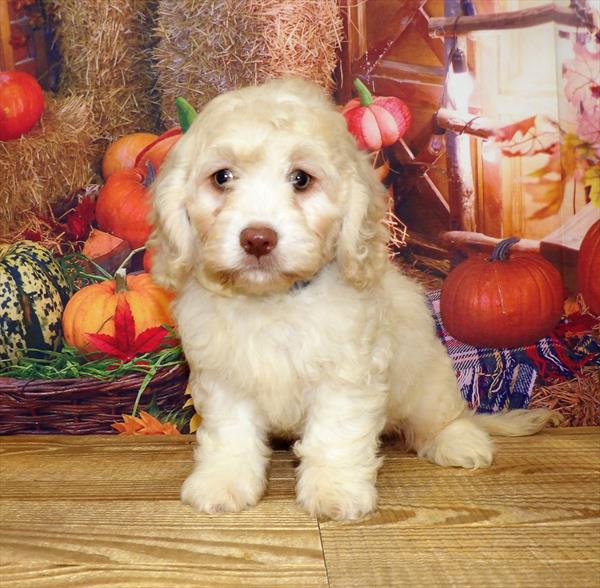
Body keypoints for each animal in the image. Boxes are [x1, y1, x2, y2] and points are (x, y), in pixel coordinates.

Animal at [150, 77, 556, 520]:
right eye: (222, 177)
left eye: (301, 179)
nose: (257, 238)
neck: (273, 298)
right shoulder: (224, 375)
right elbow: (231, 432)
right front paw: (223, 482)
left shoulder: (347, 374)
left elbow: (335, 433)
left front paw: (335, 490)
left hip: (425, 379)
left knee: (441, 417)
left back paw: (458, 441)